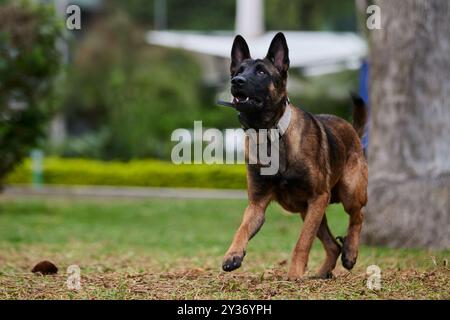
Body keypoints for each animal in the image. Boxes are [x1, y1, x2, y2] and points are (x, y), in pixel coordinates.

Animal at [222, 32, 370, 280]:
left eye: (261, 72)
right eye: (238, 71)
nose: (237, 81)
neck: (270, 133)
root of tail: (352, 131)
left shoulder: (318, 197)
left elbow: (303, 241)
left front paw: (294, 274)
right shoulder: (257, 205)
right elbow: (241, 229)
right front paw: (233, 255)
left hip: (348, 193)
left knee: (357, 217)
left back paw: (350, 252)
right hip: (309, 211)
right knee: (333, 245)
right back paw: (322, 273)